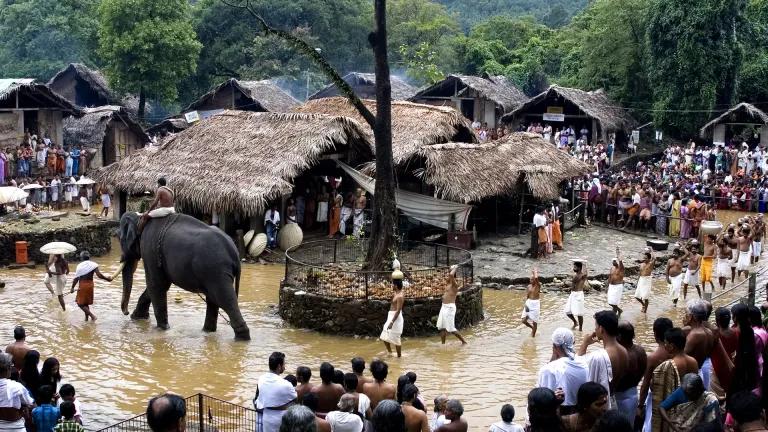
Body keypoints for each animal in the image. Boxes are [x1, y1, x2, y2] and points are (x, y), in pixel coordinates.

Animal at [119, 211, 252, 340]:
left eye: (119, 238)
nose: (126, 313)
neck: (141, 218)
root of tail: (235, 253)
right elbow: (162, 285)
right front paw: (137, 318)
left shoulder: (149, 248)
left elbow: (155, 285)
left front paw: (162, 329)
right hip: (213, 272)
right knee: (213, 299)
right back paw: (207, 332)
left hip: (216, 269)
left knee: (224, 298)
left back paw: (241, 338)